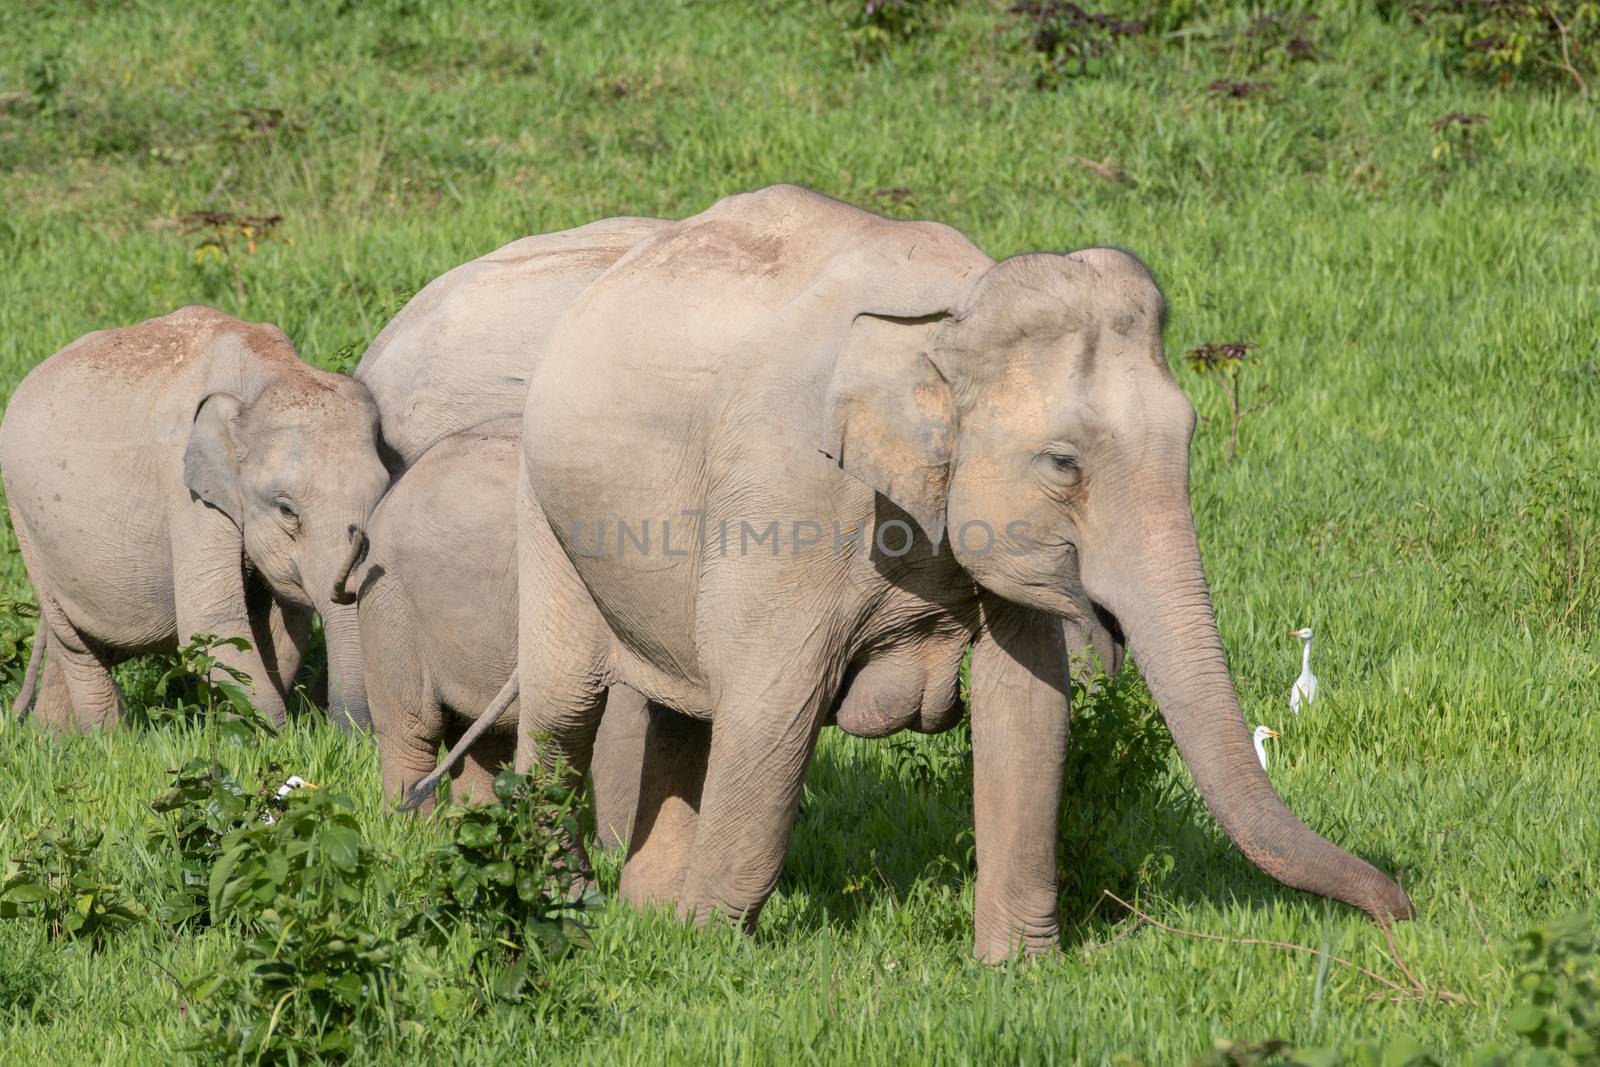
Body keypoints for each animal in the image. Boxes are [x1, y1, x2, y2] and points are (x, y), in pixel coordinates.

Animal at [0, 303, 387, 729]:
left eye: (384, 494)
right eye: (287, 509)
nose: (352, 735)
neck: (271, 371)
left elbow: (282, 626)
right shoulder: (184, 491)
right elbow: (212, 621)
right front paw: (273, 735)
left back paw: (52, 737)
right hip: (25, 525)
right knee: (75, 644)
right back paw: (107, 737)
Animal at [515, 187, 1414, 966]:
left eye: (1191, 434)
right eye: (1063, 462)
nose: (1401, 912)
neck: (948, 312)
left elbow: (1030, 709)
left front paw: (1018, 968)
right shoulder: (784, 499)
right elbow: (773, 707)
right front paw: (709, 952)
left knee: (682, 712)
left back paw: (644, 912)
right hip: (546, 516)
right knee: (564, 712)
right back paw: (566, 907)